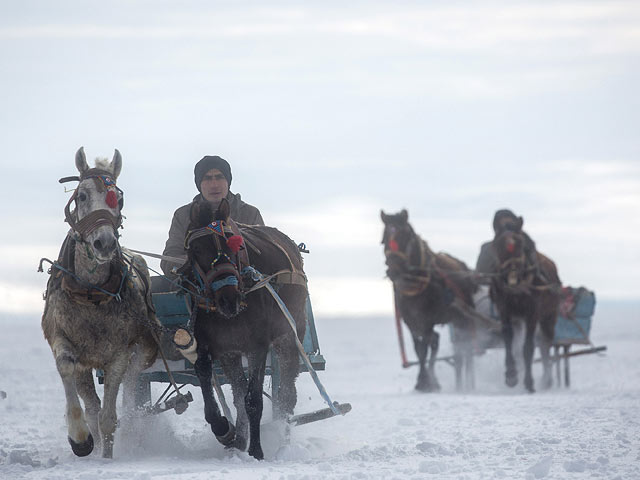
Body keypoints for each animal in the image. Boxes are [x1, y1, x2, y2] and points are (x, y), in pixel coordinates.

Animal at [41, 147, 160, 458]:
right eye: (82, 196)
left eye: (118, 198)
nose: (104, 244)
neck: (91, 294)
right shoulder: (61, 337)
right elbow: (67, 370)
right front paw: (80, 438)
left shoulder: (120, 353)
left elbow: (109, 418)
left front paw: (107, 457)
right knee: (92, 403)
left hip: (141, 352)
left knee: (129, 390)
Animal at [178, 197, 308, 460]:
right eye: (196, 249)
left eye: (235, 246)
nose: (229, 299)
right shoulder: (210, 345)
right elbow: (210, 384)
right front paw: (225, 430)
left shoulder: (257, 346)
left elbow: (253, 400)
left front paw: (256, 451)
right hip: (231, 352)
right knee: (238, 392)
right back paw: (239, 439)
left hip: (290, 335)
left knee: (287, 394)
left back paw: (283, 442)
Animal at [380, 209, 480, 390]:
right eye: (384, 239)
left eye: (405, 235)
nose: (394, 270)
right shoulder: (410, 321)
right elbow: (418, 347)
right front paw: (425, 380)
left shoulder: (427, 319)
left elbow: (424, 347)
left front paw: (424, 381)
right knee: (446, 345)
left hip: (463, 318)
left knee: (465, 349)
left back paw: (468, 384)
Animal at [490, 216, 560, 392]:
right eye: (497, 243)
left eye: (520, 243)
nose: (512, 274)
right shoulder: (504, 309)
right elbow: (508, 338)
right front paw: (511, 375)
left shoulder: (532, 313)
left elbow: (528, 347)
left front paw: (529, 381)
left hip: (549, 315)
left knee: (545, 342)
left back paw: (547, 379)